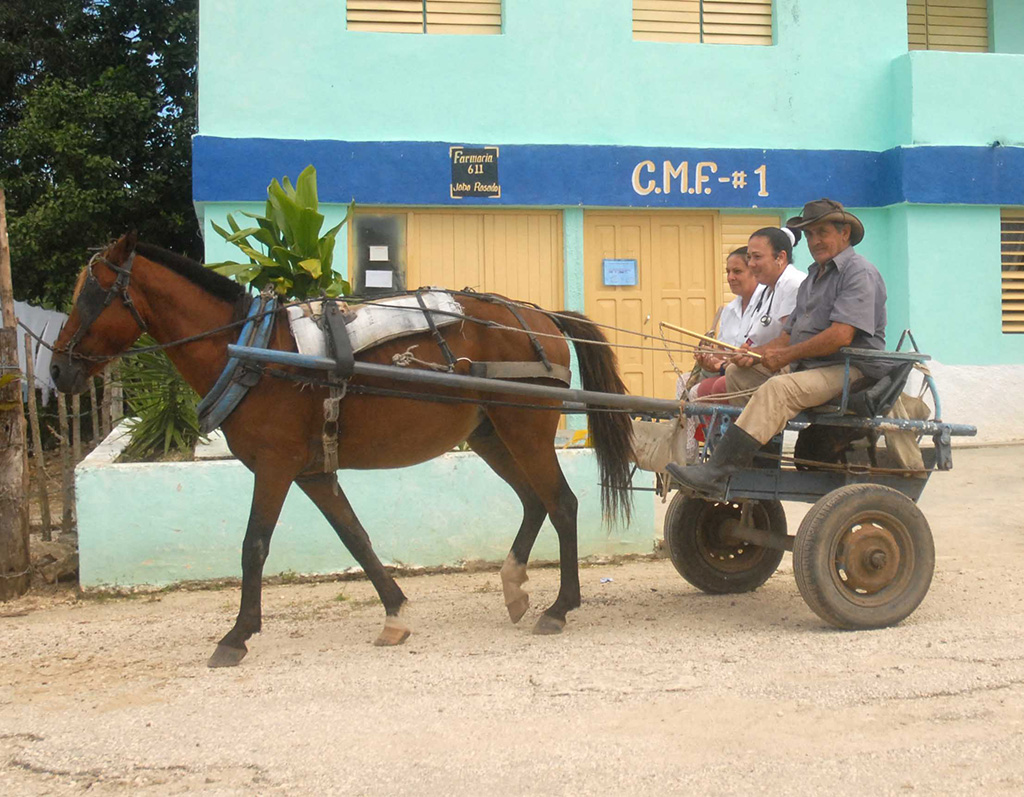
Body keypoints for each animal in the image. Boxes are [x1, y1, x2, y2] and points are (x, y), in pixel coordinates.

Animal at [51, 231, 634, 663]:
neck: (254, 351)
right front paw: (395, 613)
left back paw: (560, 607)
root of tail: (539, 317)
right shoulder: (312, 471)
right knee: (535, 501)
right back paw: (515, 587)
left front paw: (236, 636)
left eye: (91, 295)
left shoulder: (275, 466)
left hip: (525, 431)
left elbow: (253, 545)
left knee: (561, 503)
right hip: (489, 435)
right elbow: (356, 538)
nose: (56, 371)